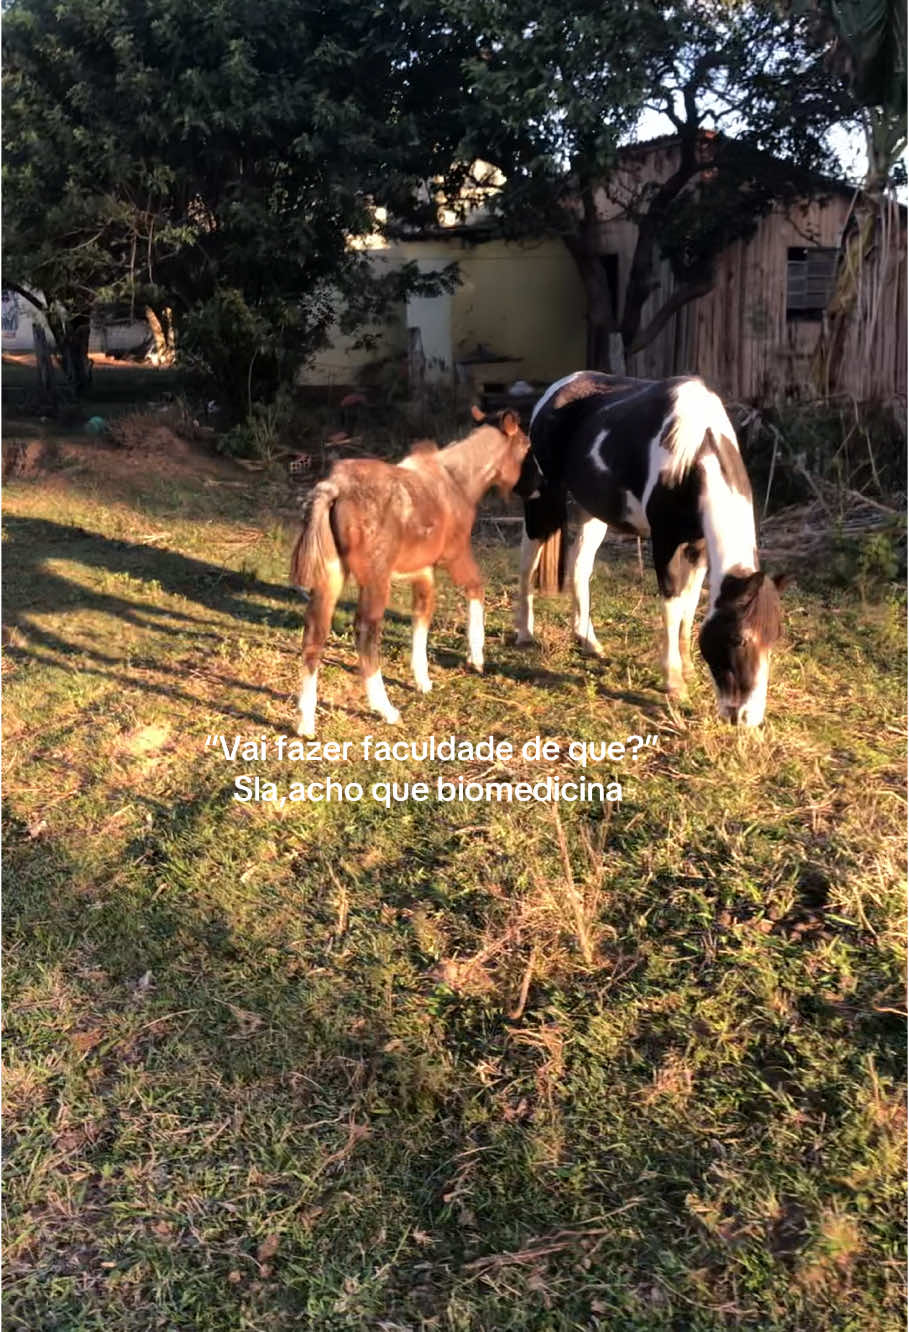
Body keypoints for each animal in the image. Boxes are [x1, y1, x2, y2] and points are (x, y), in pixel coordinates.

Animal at [290, 407, 530, 737]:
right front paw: (476, 658)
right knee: (365, 631)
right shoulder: (454, 555)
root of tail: (334, 489)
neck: (456, 481)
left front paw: (423, 679)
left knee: (315, 633)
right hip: (375, 581)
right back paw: (386, 709)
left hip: (330, 576)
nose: (533, 490)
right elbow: (476, 588)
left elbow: (422, 616)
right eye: (526, 445)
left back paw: (305, 723)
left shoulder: (423, 571)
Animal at [513, 371, 786, 726]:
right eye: (739, 638)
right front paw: (674, 683)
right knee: (527, 561)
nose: (746, 718)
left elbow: (689, 604)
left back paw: (588, 641)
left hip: (592, 510)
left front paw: (688, 668)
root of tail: (555, 390)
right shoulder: (667, 544)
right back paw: (524, 633)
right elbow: (672, 605)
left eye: (774, 637)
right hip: (544, 500)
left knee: (579, 566)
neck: (694, 455)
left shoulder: (698, 547)